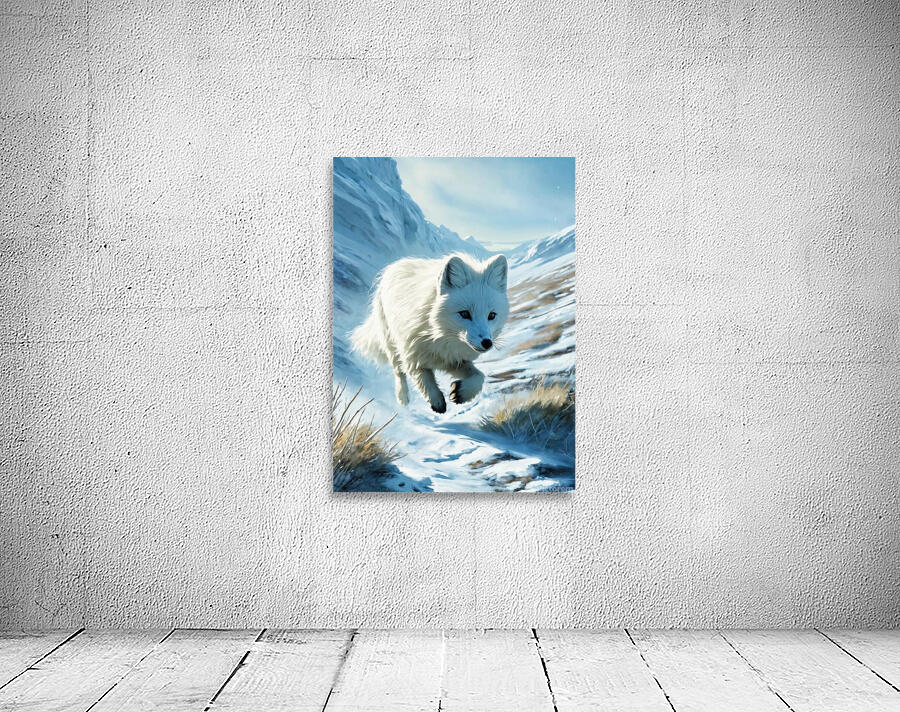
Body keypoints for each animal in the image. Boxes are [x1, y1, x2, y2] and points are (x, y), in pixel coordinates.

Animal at [351, 253, 509, 413]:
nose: (487, 343)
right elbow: (424, 380)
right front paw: (436, 400)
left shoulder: (454, 360)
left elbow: (479, 376)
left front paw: (462, 393)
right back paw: (402, 397)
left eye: (491, 315)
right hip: (391, 342)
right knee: (398, 370)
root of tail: (395, 266)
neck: (438, 336)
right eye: (464, 314)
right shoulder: (412, 355)